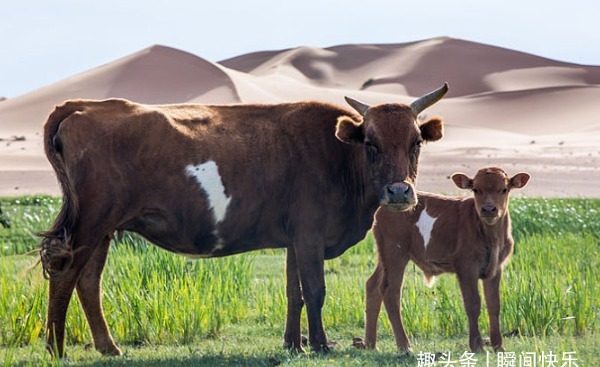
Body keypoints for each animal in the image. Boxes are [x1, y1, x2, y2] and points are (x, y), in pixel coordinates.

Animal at [38, 84, 450, 360]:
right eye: (370, 143)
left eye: (415, 142)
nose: (399, 192)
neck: (338, 156)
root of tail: (87, 105)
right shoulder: (310, 235)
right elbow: (315, 291)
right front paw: (319, 345)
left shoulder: (293, 239)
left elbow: (295, 292)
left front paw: (293, 344)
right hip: (90, 222)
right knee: (66, 273)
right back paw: (56, 348)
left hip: (103, 229)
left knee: (89, 282)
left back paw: (108, 347)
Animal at [356, 167, 528, 354]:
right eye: (476, 189)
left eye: (504, 189)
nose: (489, 209)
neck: (492, 236)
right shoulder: (466, 267)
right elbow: (473, 304)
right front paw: (477, 346)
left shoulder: (496, 268)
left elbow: (494, 304)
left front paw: (499, 346)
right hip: (395, 252)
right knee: (390, 291)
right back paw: (404, 346)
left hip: (384, 256)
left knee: (373, 285)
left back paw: (370, 344)